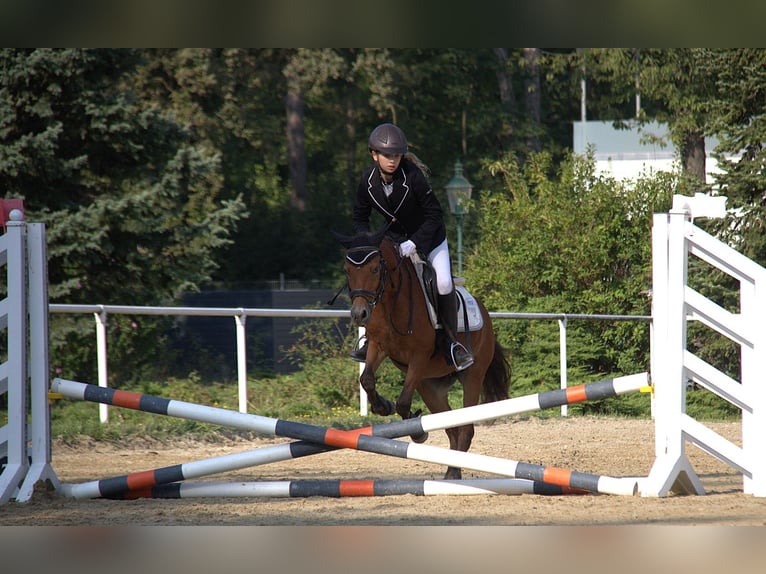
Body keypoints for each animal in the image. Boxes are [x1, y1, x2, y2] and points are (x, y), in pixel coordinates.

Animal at [334, 230, 510, 482]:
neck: (391, 300)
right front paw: (383, 406)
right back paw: (451, 468)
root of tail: (484, 313)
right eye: (347, 270)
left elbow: (403, 402)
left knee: (466, 428)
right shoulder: (378, 346)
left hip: (472, 377)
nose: (360, 314)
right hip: (430, 387)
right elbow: (367, 380)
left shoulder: (419, 356)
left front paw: (417, 433)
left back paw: (453, 472)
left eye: (375, 269)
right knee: (451, 426)